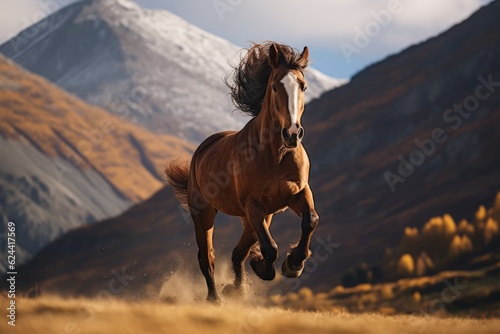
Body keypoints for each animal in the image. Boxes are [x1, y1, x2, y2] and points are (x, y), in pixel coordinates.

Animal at [165, 42, 320, 302]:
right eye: (275, 86)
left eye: (303, 86)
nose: (292, 133)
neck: (276, 155)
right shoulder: (253, 205)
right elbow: (270, 247)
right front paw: (266, 269)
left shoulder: (297, 194)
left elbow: (310, 221)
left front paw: (293, 264)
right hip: (205, 213)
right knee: (207, 257)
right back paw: (216, 298)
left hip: (253, 217)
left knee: (238, 252)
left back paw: (237, 288)